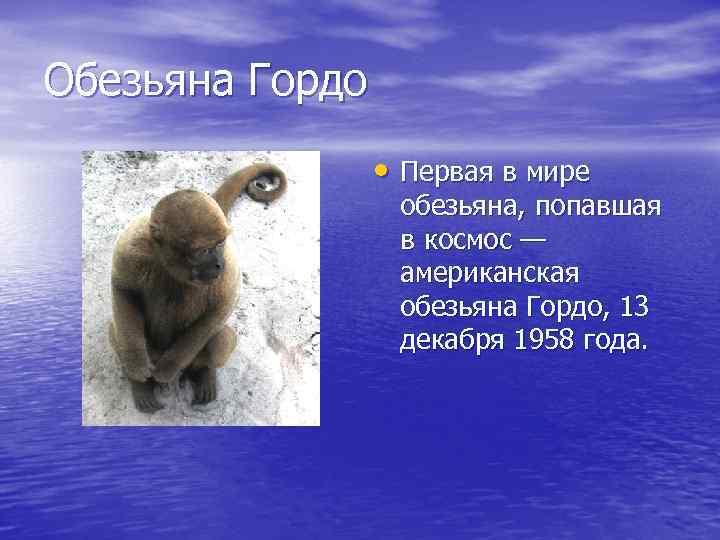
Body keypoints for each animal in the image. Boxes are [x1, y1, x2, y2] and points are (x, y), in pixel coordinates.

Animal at [108, 163, 287, 413]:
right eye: (203, 251)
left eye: (220, 244)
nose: (218, 264)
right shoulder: (132, 244)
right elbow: (123, 289)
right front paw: (136, 366)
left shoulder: (230, 262)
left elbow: (219, 310)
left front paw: (168, 369)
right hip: (149, 349)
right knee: (116, 328)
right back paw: (140, 386)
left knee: (222, 339)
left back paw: (202, 374)